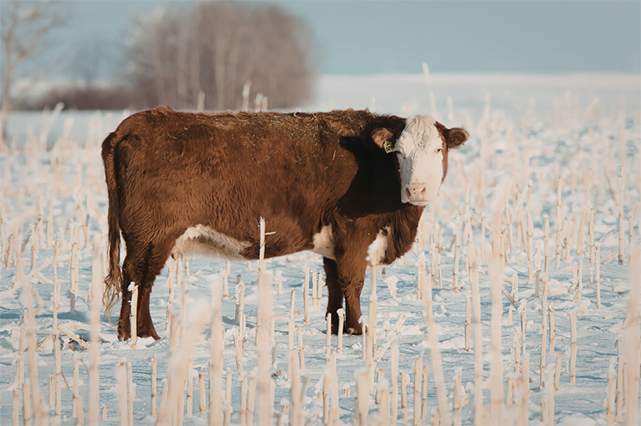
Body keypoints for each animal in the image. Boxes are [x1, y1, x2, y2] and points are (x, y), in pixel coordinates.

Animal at [101, 107, 468, 340]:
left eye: (438, 149)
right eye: (400, 153)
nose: (416, 189)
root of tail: (134, 123)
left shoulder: (333, 241)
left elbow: (333, 284)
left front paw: (335, 327)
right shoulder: (354, 234)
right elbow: (352, 283)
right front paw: (357, 330)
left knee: (132, 278)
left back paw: (129, 332)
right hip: (151, 235)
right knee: (139, 280)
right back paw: (144, 333)